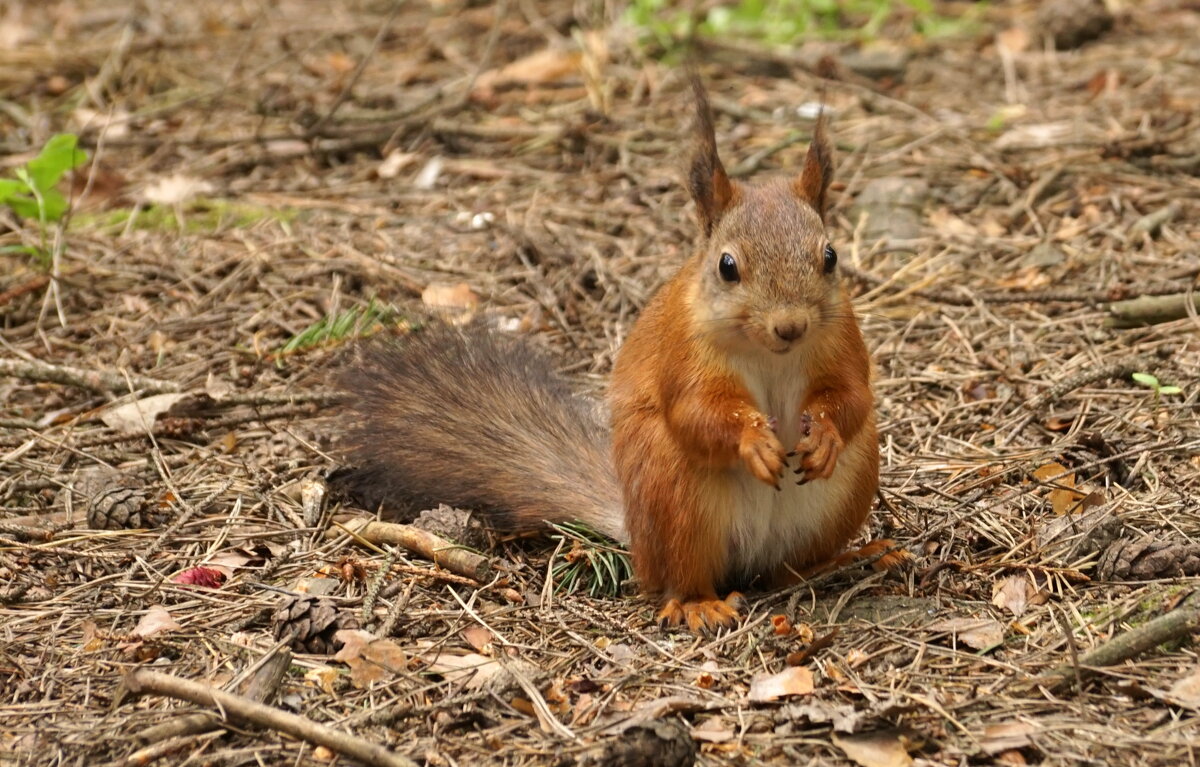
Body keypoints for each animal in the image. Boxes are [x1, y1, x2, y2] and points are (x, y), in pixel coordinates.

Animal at [338, 76, 883, 633]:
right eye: (727, 266)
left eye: (830, 256)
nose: (790, 326)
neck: (767, 351)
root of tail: (637, 538)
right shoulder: (684, 352)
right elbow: (696, 413)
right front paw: (753, 439)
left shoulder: (842, 341)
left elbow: (853, 396)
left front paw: (825, 433)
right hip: (673, 492)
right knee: (681, 574)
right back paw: (698, 603)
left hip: (852, 479)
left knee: (787, 568)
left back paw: (846, 560)